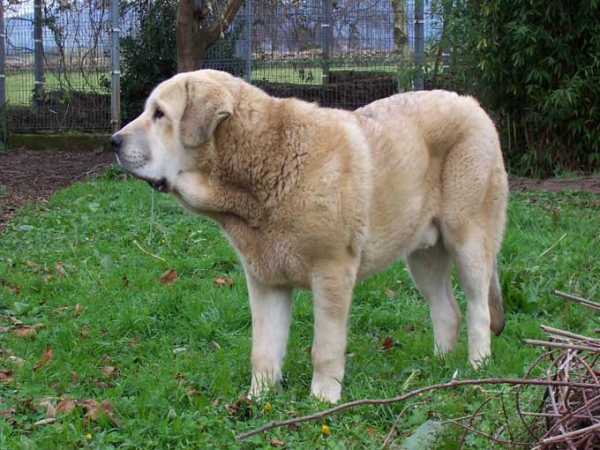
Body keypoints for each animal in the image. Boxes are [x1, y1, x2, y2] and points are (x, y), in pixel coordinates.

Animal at [110, 70, 508, 404]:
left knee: (477, 309)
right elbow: (263, 348)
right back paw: (438, 369)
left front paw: (323, 400)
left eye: (160, 114)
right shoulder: (265, 282)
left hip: (469, 241)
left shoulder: (331, 273)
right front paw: (258, 399)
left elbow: (325, 347)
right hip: (423, 257)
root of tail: (473, 105)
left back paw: (477, 369)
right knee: (447, 311)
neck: (267, 165)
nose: (113, 140)